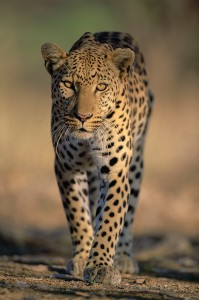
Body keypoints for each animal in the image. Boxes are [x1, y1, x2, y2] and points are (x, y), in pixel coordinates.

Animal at [41, 31, 154, 284]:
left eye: (101, 87)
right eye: (68, 85)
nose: (83, 117)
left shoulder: (115, 171)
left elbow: (111, 218)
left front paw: (101, 265)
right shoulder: (66, 167)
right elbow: (78, 215)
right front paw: (84, 257)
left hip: (136, 162)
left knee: (129, 212)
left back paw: (123, 258)